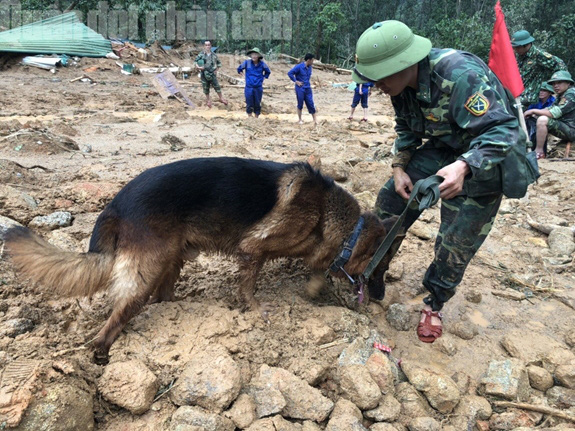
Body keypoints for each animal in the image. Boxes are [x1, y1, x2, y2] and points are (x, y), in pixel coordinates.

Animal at [3, 157, 396, 362]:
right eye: (382, 270)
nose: (379, 298)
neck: (338, 221)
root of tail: (116, 203)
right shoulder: (254, 247)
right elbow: (250, 285)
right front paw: (256, 310)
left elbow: (317, 267)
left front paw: (314, 288)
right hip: (146, 271)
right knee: (113, 321)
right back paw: (100, 353)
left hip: (171, 260)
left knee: (161, 297)